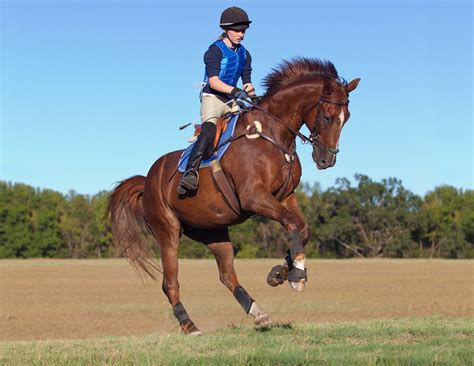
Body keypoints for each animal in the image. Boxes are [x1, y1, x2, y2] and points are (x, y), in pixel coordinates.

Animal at [108, 57, 360, 334]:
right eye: (327, 115)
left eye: (347, 117)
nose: (327, 160)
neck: (270, 133)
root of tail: (148, 180)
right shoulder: (254, 197)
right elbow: (292, 223)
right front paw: (296, 275)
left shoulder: (285, 196)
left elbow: (302, 229)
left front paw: (281, 272)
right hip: (168, 232)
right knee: (170, 282)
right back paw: (189, 325)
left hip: (214, 232)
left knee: (227, 275)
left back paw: (258, 313)